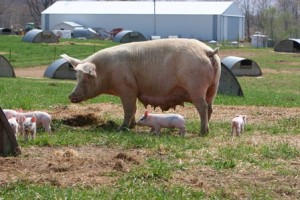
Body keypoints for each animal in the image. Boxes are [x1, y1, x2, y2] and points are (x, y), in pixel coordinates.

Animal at [61, 38, 220, 134]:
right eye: (77, 77)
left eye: (88, 77)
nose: (71, 96)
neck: (106, 70)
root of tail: (208, 51)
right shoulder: (133, 91)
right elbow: (133, 109)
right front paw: (132, 126)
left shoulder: (127, 88)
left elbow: (128, 109)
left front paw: (122, 128)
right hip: (213, 87)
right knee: (210, 107)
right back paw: (207, 129)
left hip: (196, 87)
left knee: (203, 107)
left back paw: (202, 132)